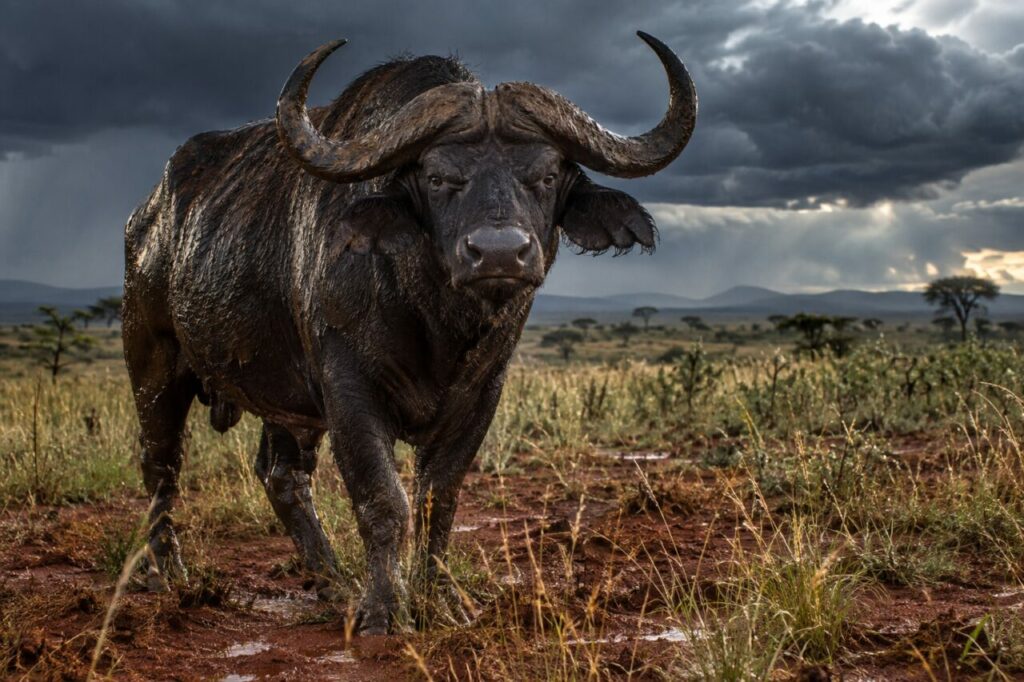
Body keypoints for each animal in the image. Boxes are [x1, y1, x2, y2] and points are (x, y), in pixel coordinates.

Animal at [122, 31, 696, 634]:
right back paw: (167, 572)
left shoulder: (482, 393)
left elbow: (437, 497)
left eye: (545, 176)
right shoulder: (347, 389)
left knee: (282, 475)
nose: (499, 253)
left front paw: (439, 598)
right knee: (161, 466)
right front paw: (384, 610)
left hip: (285, 399)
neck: (435, 319)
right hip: (153, 364)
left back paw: (332, 582)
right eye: (438, 178)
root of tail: (149, 214)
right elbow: (383, 498)